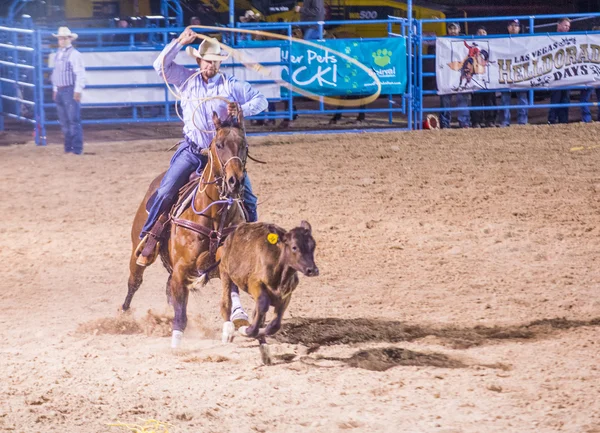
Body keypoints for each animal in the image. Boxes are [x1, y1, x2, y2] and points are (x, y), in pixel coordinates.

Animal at [123, 111, 247, 348]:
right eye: (219, 144)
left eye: (244, 145)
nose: (235, 181)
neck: (213, 216)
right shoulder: (181, 269)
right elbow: (180, 311)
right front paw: (176, 341)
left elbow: (228, 297)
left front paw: (230, 327)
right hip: (138, 251)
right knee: (134, 282)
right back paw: (122, 317)